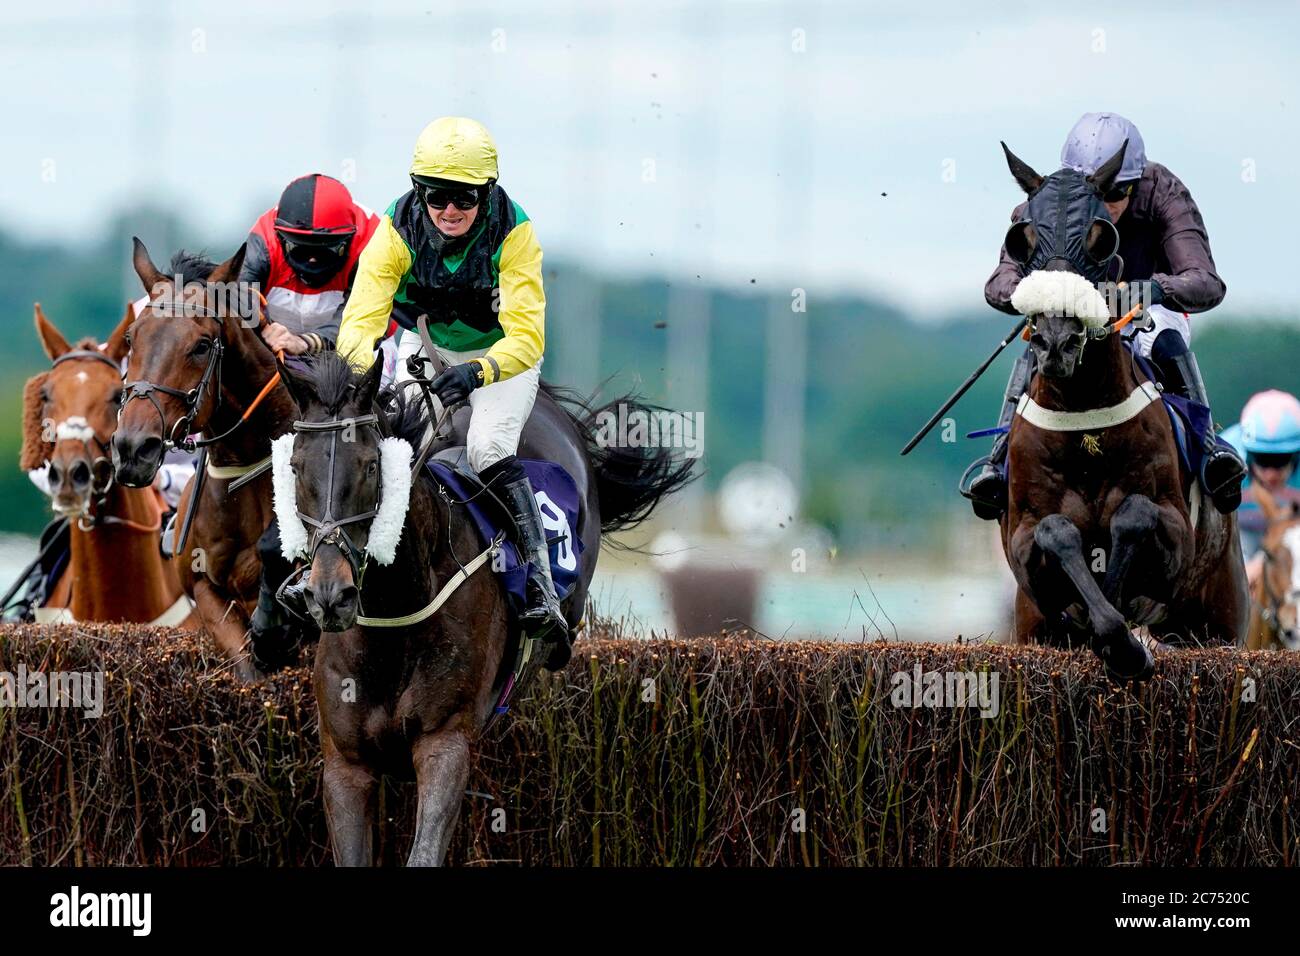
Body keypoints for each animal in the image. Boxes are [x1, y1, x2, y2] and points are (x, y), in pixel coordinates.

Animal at [279, 353, 696, 868]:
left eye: (372, 465)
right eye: (294, 466)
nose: (329, 594)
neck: (394, 620)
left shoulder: (445, 742)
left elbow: (424, 851)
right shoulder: (346, 763)